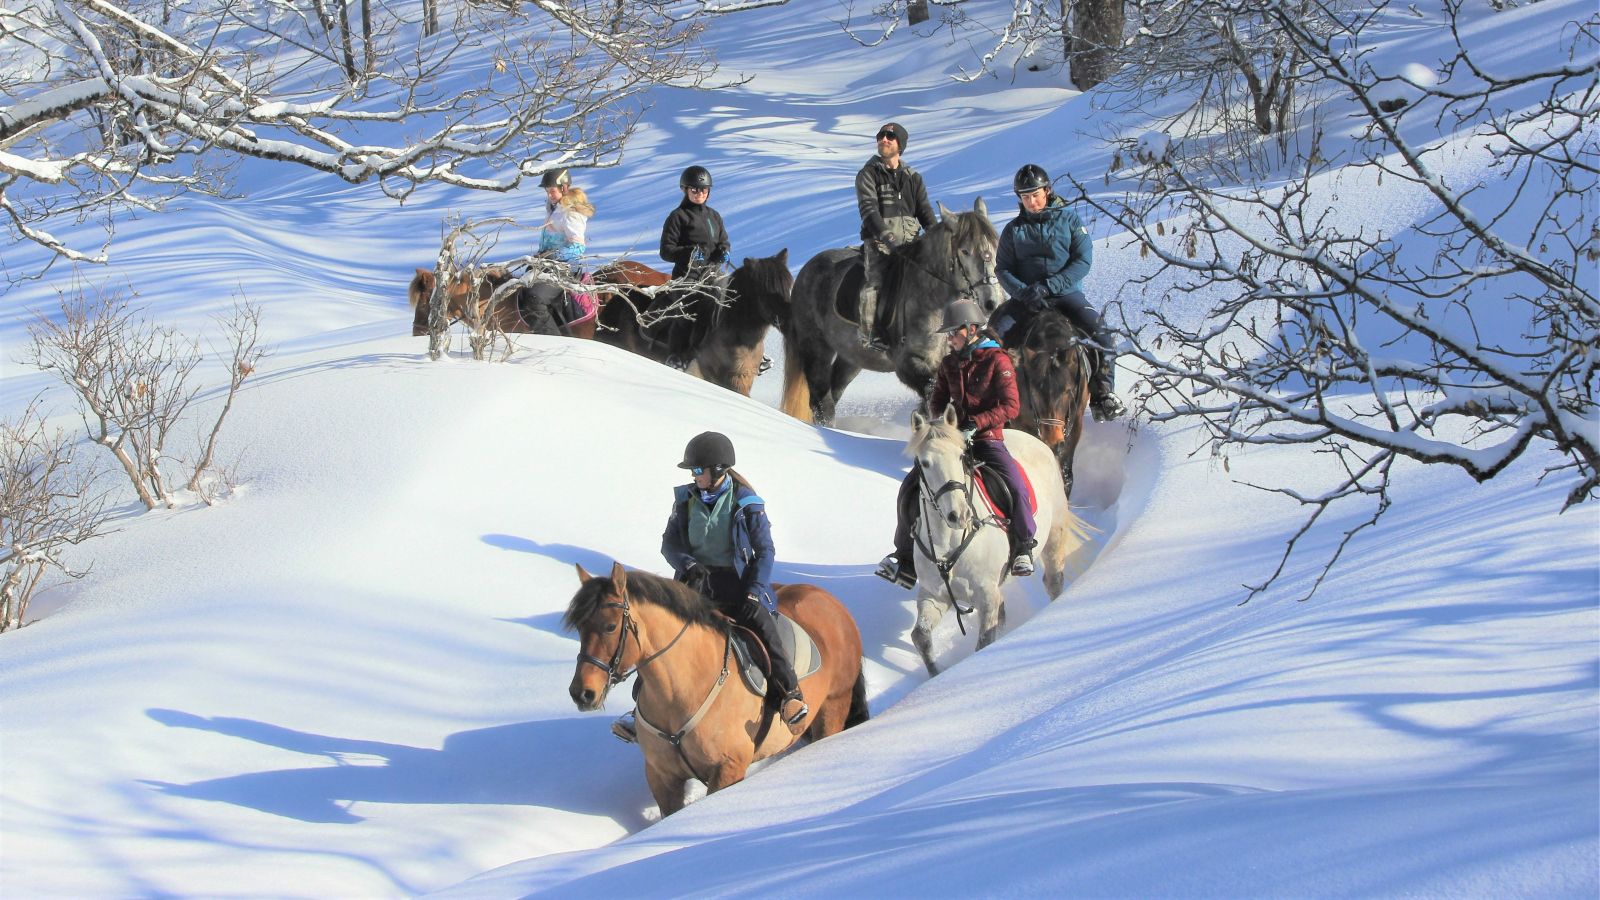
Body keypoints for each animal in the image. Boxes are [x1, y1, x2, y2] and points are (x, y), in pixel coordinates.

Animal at [563, 560, 864, 813]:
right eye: (579, 628)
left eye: (610, 627)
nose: (582, 694)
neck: (681, 692)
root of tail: (830, 601)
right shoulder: (662, 777)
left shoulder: (727, 769)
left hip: (834, 707)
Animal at [780, 197, 1004, 422]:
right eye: (965, 251)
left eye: (995, 246)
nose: (993, 301)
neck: (933, 301)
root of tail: (804, 272)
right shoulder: (905, 364)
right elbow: (931, 393)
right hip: (816, 348)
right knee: (822, 403)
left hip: (851, 357)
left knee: (833, 393)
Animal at [908, 403, 1094, 669]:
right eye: (924, 463)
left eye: (961, 457)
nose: (959, 514)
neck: (950, 542)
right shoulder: (933, 595)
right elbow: (921, 637)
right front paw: (936, 672)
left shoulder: (987, 597)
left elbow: (984, 642)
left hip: (1054, 536)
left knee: (1053, 581)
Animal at [1004, 307, 1094, 496]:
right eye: (1033, 392)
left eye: (1068, 391)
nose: (1053, 442)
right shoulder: (1021, 423)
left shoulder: (1075, 425)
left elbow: (1066, 474)